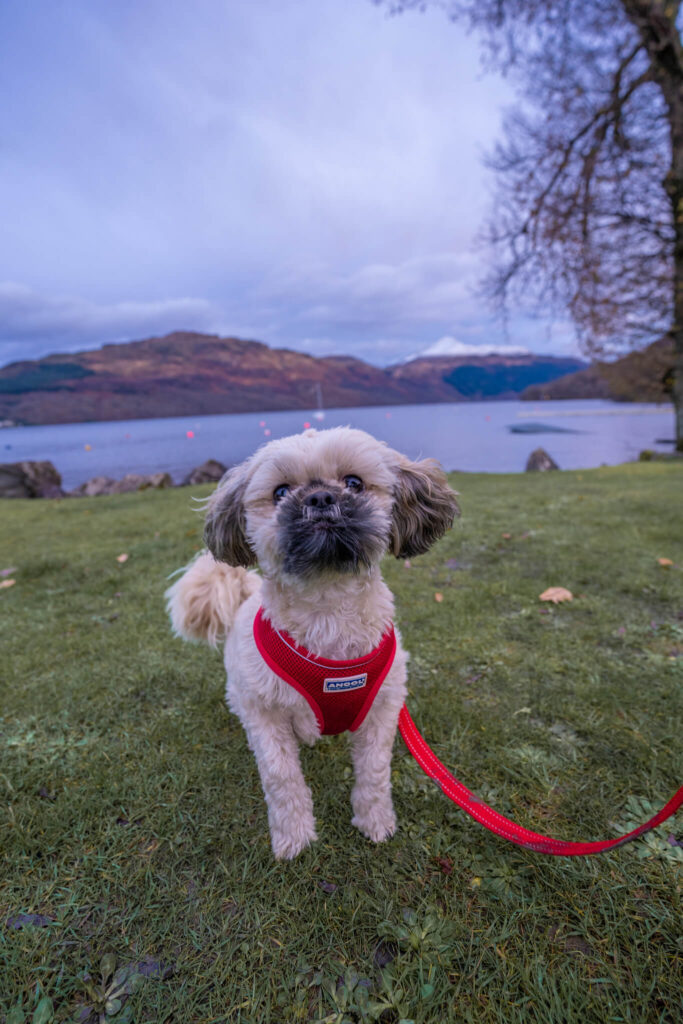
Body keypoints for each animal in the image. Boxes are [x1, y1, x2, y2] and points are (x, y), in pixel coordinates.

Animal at [166, 423, 458, 856]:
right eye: (280, 492)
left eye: (353, 483)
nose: (320, 497)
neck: (327, 611)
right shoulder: (266, 714)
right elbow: (282, 777)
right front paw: (294, 835)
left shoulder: (383, 708)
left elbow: (374, 773)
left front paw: (375, 821)